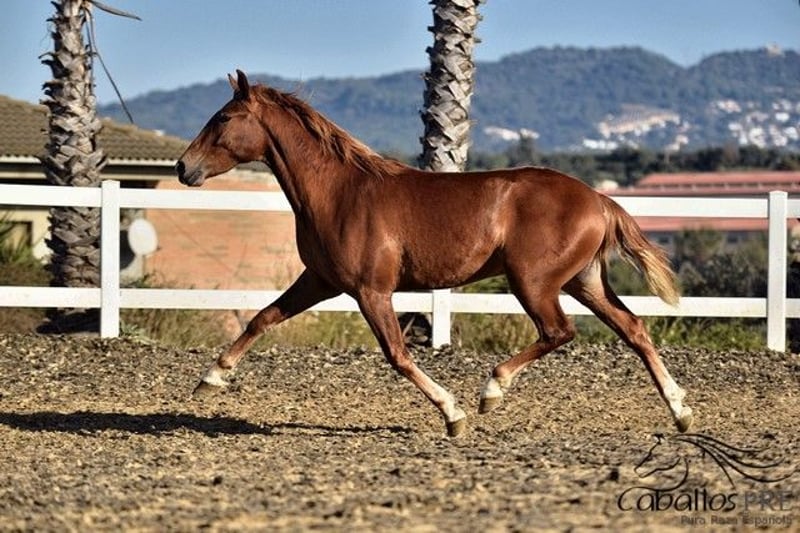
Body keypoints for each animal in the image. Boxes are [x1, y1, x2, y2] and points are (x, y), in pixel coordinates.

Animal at [176, 70, 694, 437]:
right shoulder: (320, 281)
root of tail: (599, 200)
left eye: (223, 118)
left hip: (534, 281)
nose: (183, 167)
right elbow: (261, 318)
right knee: (633, 328)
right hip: (583, 281)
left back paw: (491, 390)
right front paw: (210, 379)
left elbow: (398, 355)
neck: (339, 192)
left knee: (559, 331)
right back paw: (681, 411)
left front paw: (454, 415)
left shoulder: (371, 290)